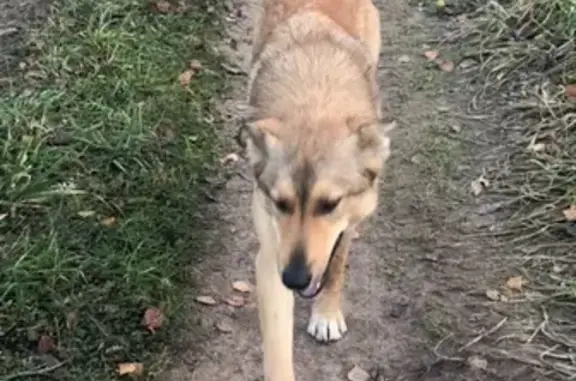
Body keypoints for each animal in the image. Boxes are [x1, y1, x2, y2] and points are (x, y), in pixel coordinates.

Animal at [237, 0, 392, 378]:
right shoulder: (271, 259)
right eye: (280, 203)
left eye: (330, 203)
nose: (294, 279)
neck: (315, 101)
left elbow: (336, 266)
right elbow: (278, 352)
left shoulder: (348, 223)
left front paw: (326, 314)